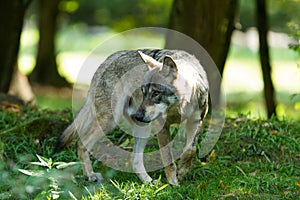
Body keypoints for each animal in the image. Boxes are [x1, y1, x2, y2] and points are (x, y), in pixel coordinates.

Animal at [54, 48, 209, 186]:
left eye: (155, 93)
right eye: (144, 92)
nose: (138, 115)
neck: (181, 106)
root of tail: (106, 60)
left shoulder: (197, 122)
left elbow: (190, 150)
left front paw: (183, 171)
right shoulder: (162, 126)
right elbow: (168, 158)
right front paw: (173, 184)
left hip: (143, 127)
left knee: (134, 161)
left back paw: (148, 182)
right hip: (113, 121)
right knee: (82, 143)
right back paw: (90, 175)